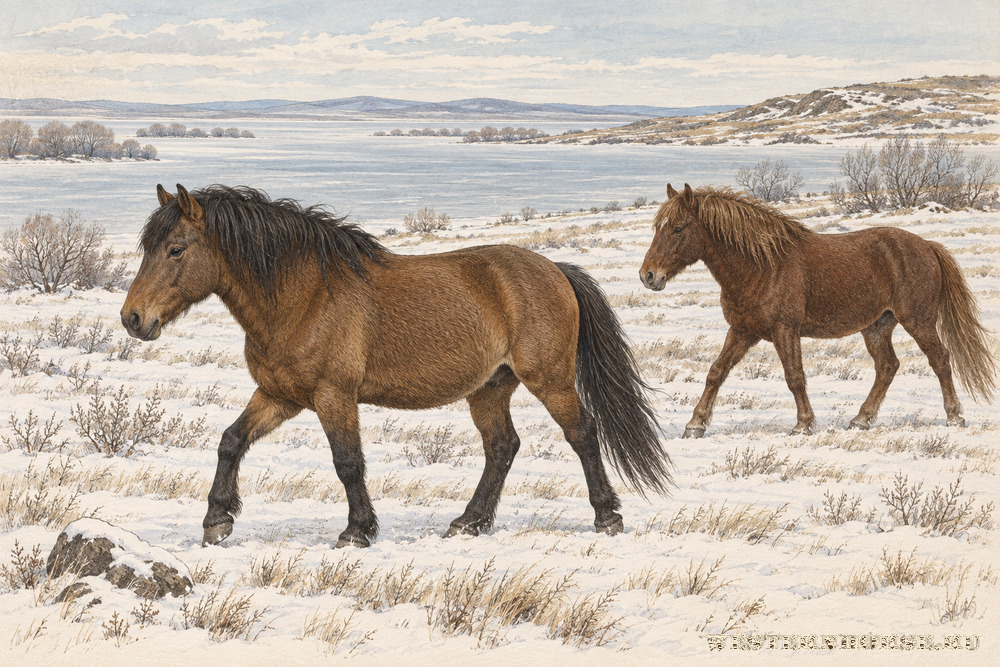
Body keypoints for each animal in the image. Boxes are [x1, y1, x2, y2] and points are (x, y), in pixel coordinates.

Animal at [122, 184, 672, 548]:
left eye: (176, 249)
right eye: (148, 247)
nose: (133, 319)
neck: (303, 295)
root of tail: (554, 270)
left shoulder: (333, 396)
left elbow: (347, 462)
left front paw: (357, 531)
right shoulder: (279, 396)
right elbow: (231, 441)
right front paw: (217, 521)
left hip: (550, 380)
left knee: (582, 435)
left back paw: (606, 517)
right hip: (490, 387)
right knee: (502, 448)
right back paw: (469, 522)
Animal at [640, 183, 995, 438]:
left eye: (678, 228)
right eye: (659, 227)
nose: (648, 276)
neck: (761, 265)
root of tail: (927, 247)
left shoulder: (785, 330)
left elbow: (794, 377)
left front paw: (803, 425)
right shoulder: (742, 331)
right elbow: (716, 373)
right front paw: (695, 425)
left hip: (918, 321)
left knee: (940, 360)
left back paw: (954, 416)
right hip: (877, 326)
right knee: (887, 366)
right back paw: (861, 419)